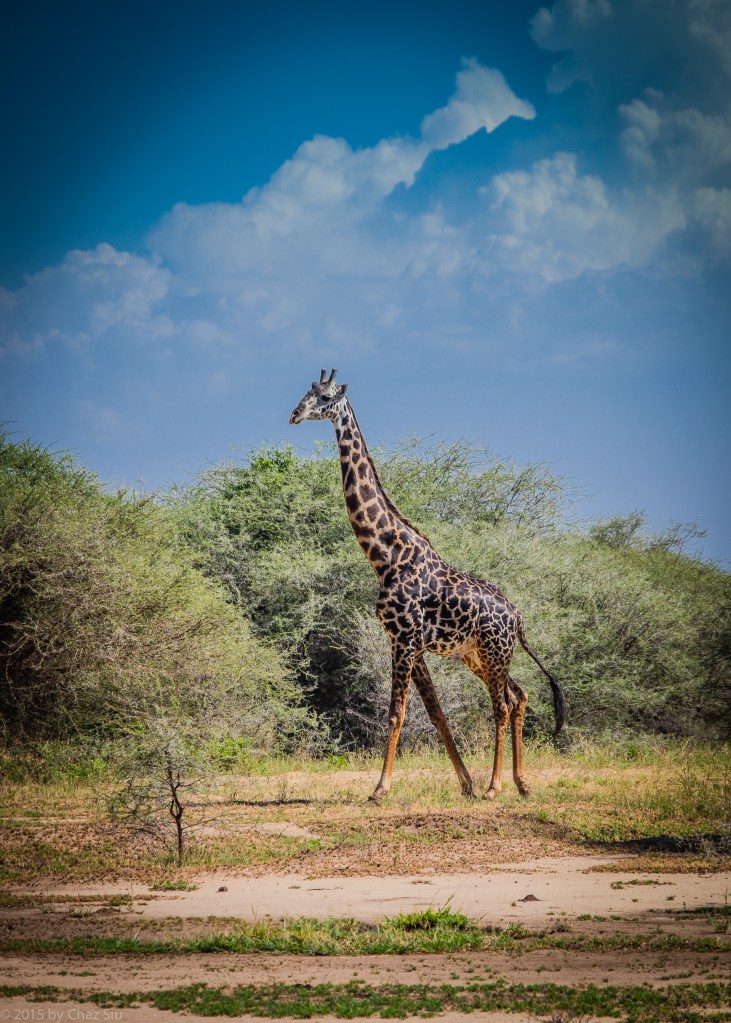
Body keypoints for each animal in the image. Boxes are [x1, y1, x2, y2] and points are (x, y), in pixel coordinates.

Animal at [290, 370, 565, 803]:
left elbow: (395, 713)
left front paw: (380, 789)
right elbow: (435, 712)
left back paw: (496, 786)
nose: (295, 414)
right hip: (477, 655)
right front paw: (465, 783)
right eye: (306, 393)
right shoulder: (408, 643)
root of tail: (519, 618)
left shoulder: (404, 640)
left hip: (494, 651)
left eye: (327, 397)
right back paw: (521, 783)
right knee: (518, 696)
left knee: (502, 705)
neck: (386, 556)